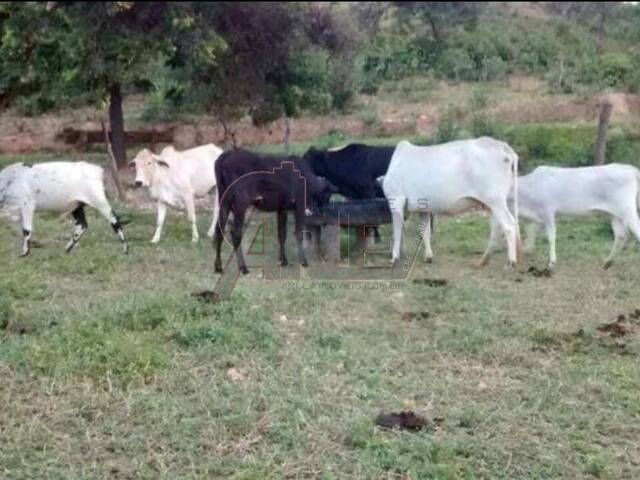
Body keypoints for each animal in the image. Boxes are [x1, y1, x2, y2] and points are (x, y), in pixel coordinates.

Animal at [0, 161, 129, 256]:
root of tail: (97, 169)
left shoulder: (27, 205)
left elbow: (26, 230)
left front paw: (24, 253)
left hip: (99, 201)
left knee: (114, 220)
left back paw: (125, 250)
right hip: (78, 205)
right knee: (82, 225)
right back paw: (66, 249)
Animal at [382, 137, 524, 268]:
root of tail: (500, 144)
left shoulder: (396, 199)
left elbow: (397, 231)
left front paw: (394, 258)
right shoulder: (423, 208)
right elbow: (425, 232)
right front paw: (428, 257)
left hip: (495, 200)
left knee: (509, 225)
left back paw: (511, 262)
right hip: (491, 203)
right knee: (497, 228)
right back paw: (483, 261)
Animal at [478, 164, 640, 270]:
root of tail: (631, 169)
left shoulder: (548, 212)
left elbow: (551, 237)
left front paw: (551, 262)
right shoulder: (537, 217)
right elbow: (531, 232)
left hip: (627, 210)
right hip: (615, 215)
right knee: (621, 235)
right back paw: (607, 263)